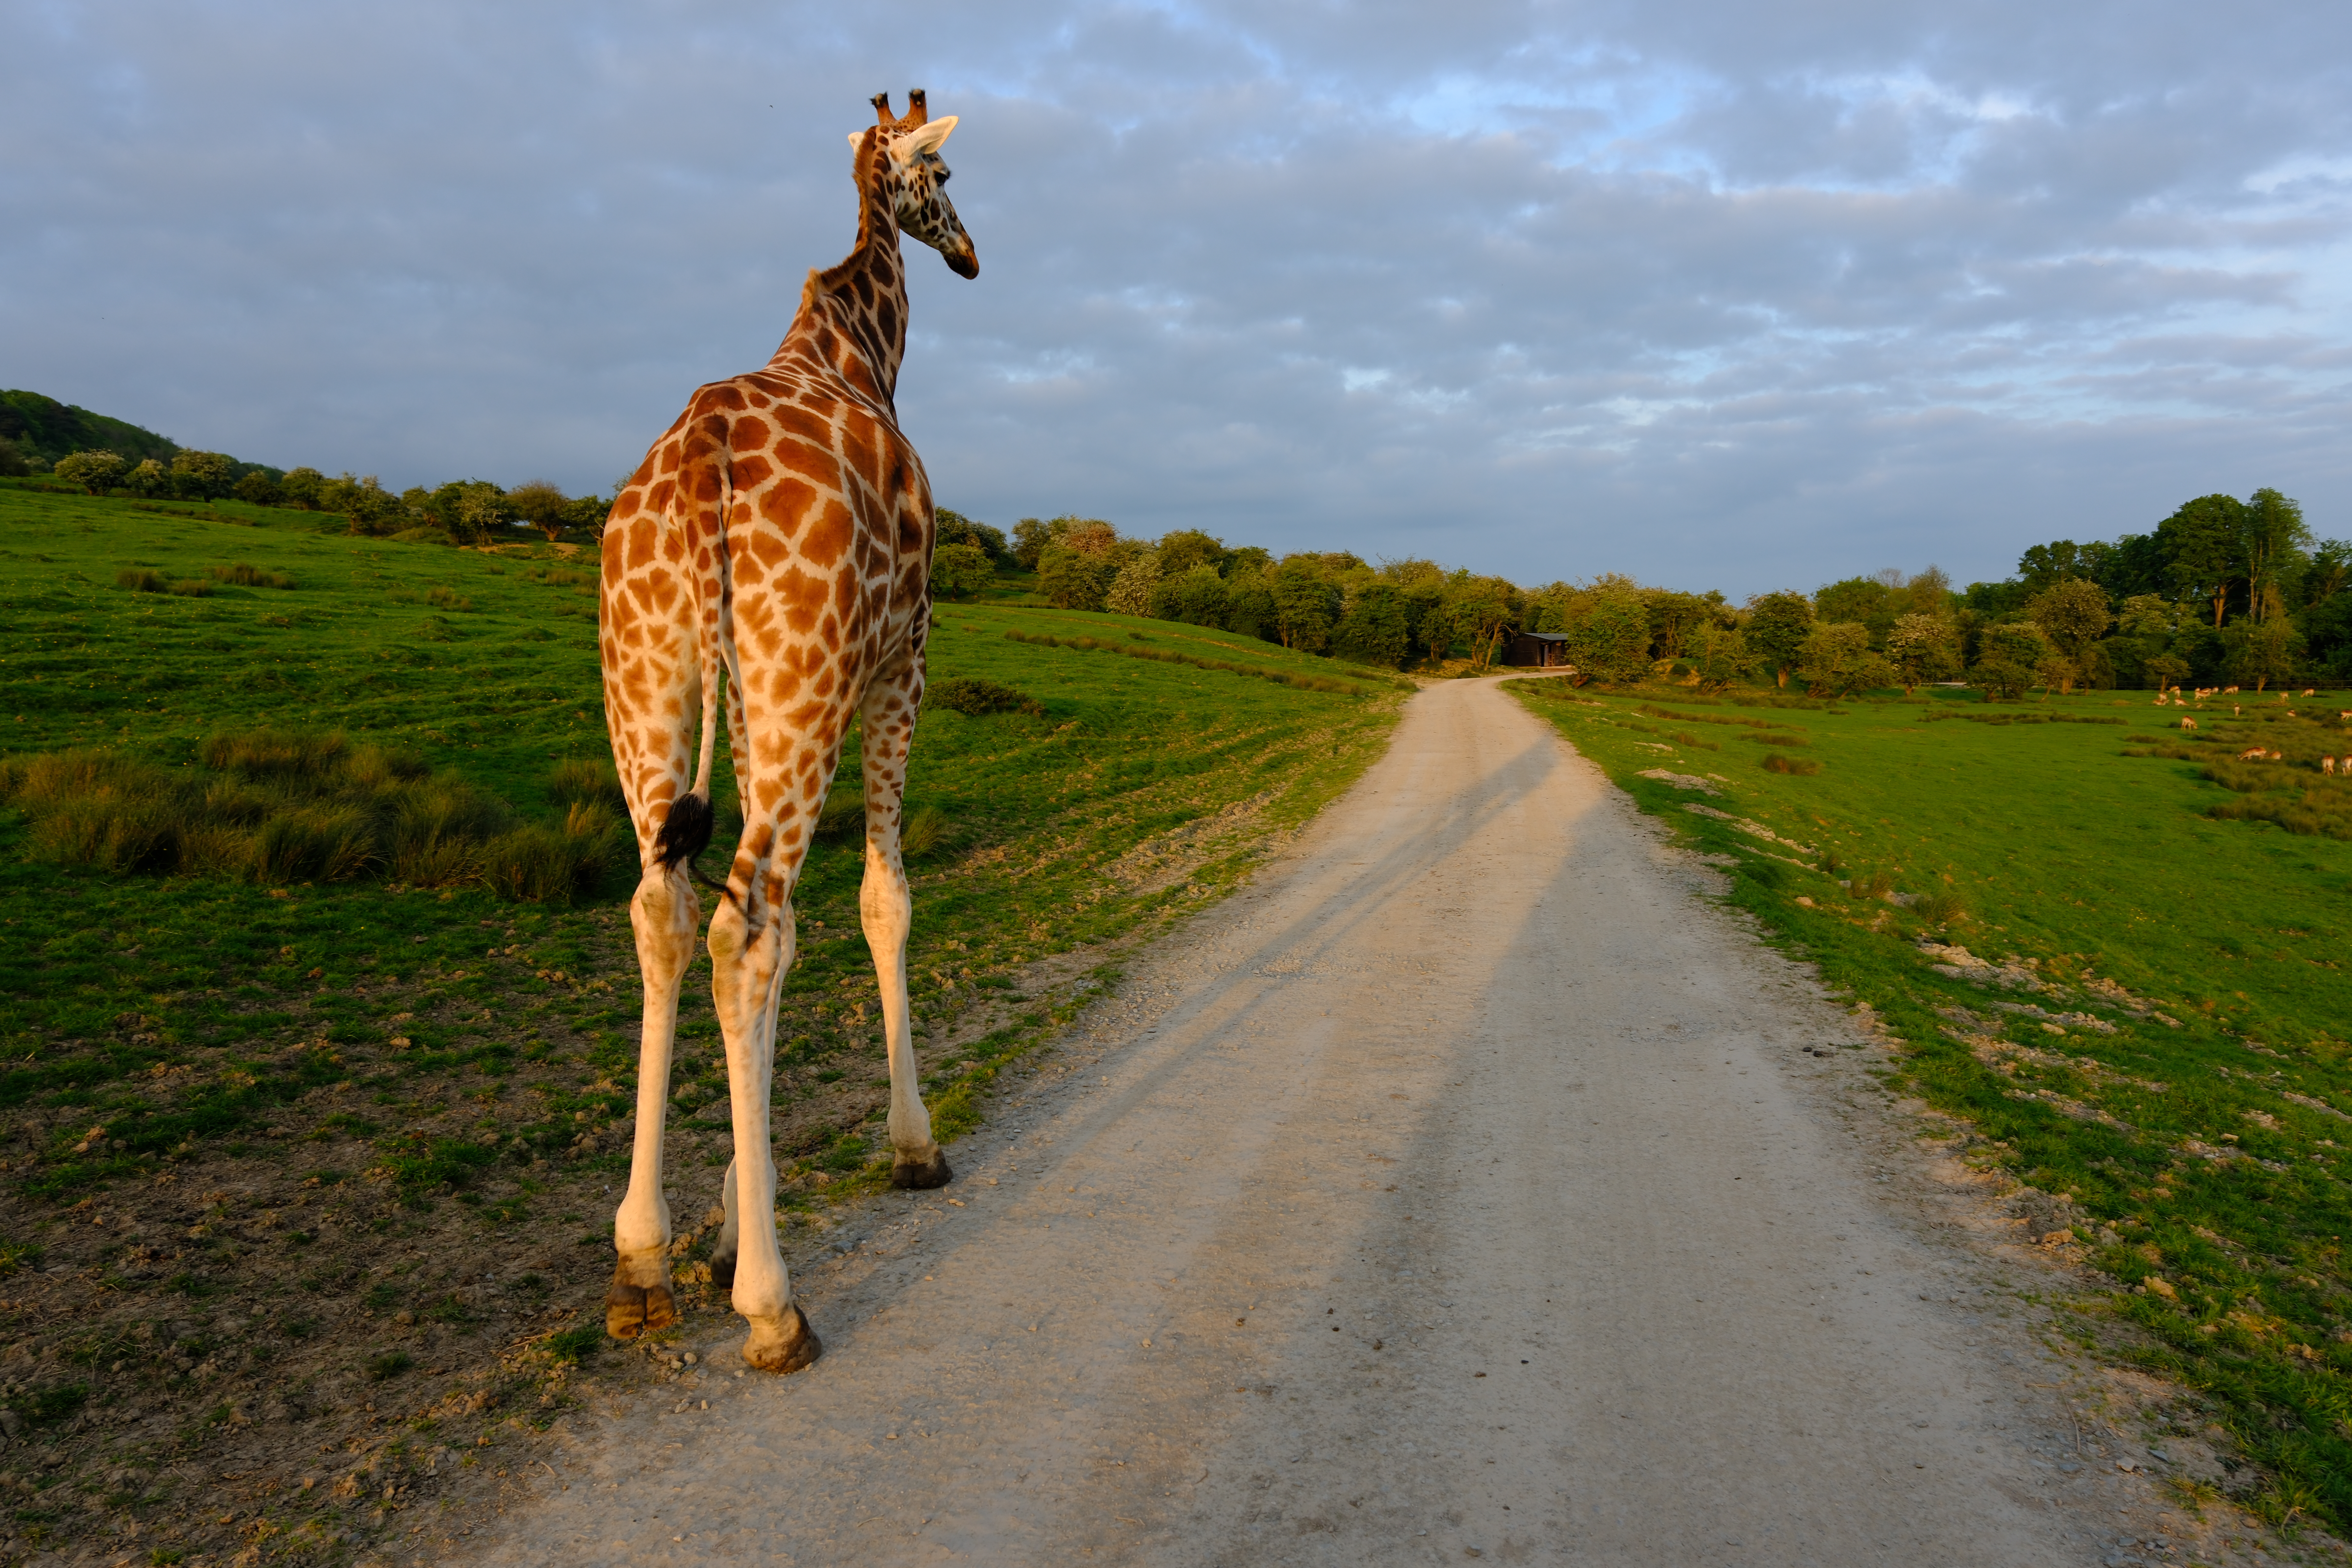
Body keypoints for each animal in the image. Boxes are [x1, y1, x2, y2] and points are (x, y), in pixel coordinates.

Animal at [595, 89, 976, 1373]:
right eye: (944, 175)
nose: (970, 252)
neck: (855, 350)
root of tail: (697, 473)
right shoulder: (901, 661)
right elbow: (879, 897)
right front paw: (911, 1145)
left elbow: (797, 929)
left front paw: (720, 1217)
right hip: (802, 681)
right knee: (744, 923)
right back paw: (773, 1305)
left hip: (652, 678)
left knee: (668, 912)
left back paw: (642, 1261)